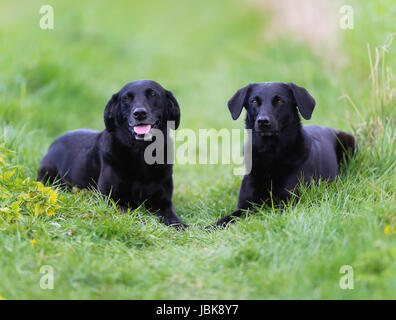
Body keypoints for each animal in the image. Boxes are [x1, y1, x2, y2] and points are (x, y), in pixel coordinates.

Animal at [38, 80, 187, 230]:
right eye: (126, 98)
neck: (140, 153)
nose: (139, 113)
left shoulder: (163, 201)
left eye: (153, 94)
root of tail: (54, 142)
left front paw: (179, 225)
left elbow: (171, 216)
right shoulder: (108, 199)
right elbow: (132, 212)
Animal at [215, 82, 358, 228]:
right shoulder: (245, 206)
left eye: (279, 101)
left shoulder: (288, 202)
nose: (263, 121)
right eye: (254, 101)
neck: (270, 153)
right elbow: (224, 220)